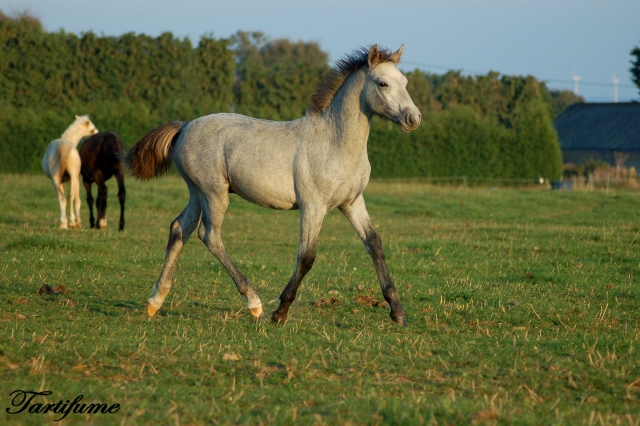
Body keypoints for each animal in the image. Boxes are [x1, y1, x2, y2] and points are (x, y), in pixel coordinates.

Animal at [127, 45, 422, 326]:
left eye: (405, 82)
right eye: (382, 83)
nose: (413, 118)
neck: (335, 143)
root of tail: (185, 126)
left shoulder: (351, 202)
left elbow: (375, 244)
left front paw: (398, 313)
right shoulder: (313, 206)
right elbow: (306, 257)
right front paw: (280, 312)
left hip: (197, 194)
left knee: (179, 229)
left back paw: (156, 301)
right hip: (214, 194)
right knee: (209, 235)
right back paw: (254, 303)